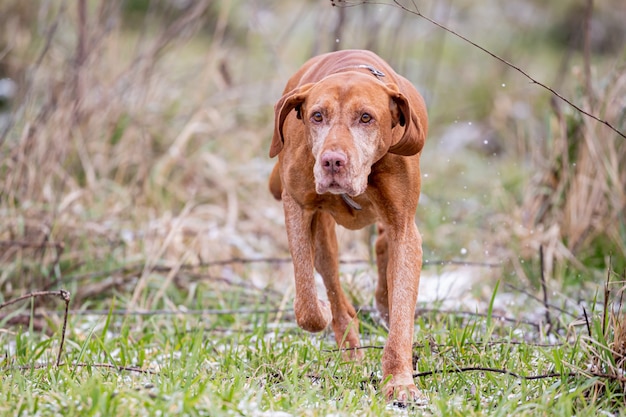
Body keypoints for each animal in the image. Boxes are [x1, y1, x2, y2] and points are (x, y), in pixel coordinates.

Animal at [266, 49, 426, 404]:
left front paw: (399, 381)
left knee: (383, 249)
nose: (332, 162)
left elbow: (402, 315)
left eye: (366, 117)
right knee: (334, 288)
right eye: (317, 116)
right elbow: (307, 303)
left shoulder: (405, 229)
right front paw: (322, 313)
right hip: (323, 233)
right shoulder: (297, 208)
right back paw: (349, 346)